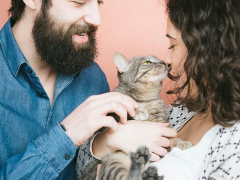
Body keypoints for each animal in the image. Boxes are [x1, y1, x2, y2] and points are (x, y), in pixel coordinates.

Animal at [81, 52, 190, 180]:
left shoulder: (160, 123)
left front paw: (181, 143)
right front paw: (138, 110)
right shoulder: (113, 110)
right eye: (147, 62)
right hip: (113, 161)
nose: (164, 62)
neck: (147, 97)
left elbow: (170, 138)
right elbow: (126, 104)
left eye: (160, 60)